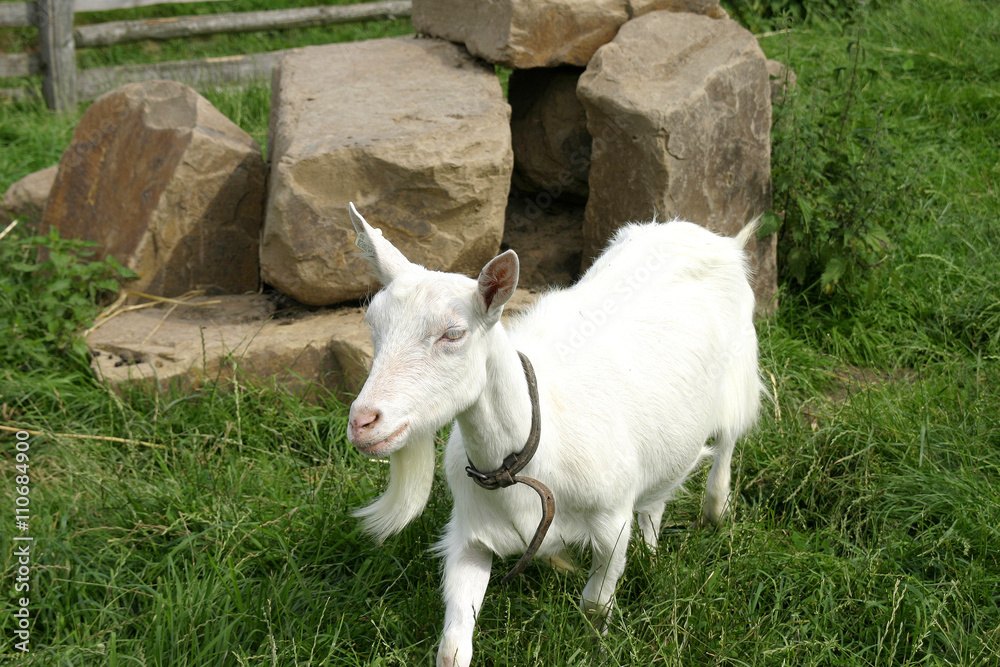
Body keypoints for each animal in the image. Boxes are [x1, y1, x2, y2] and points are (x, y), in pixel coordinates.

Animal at [345, 203, 762, 667]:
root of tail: (713, 238)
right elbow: (452, 646)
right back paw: (653, 554)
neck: (530, 451)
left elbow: (596, 604)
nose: (362, 421)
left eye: (453, 334)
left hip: (739, 373)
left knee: (727, 443)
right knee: (658, 494)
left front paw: (597, 647)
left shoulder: (611, 522)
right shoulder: (470, 535)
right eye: (372, 324)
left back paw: (716, 512)